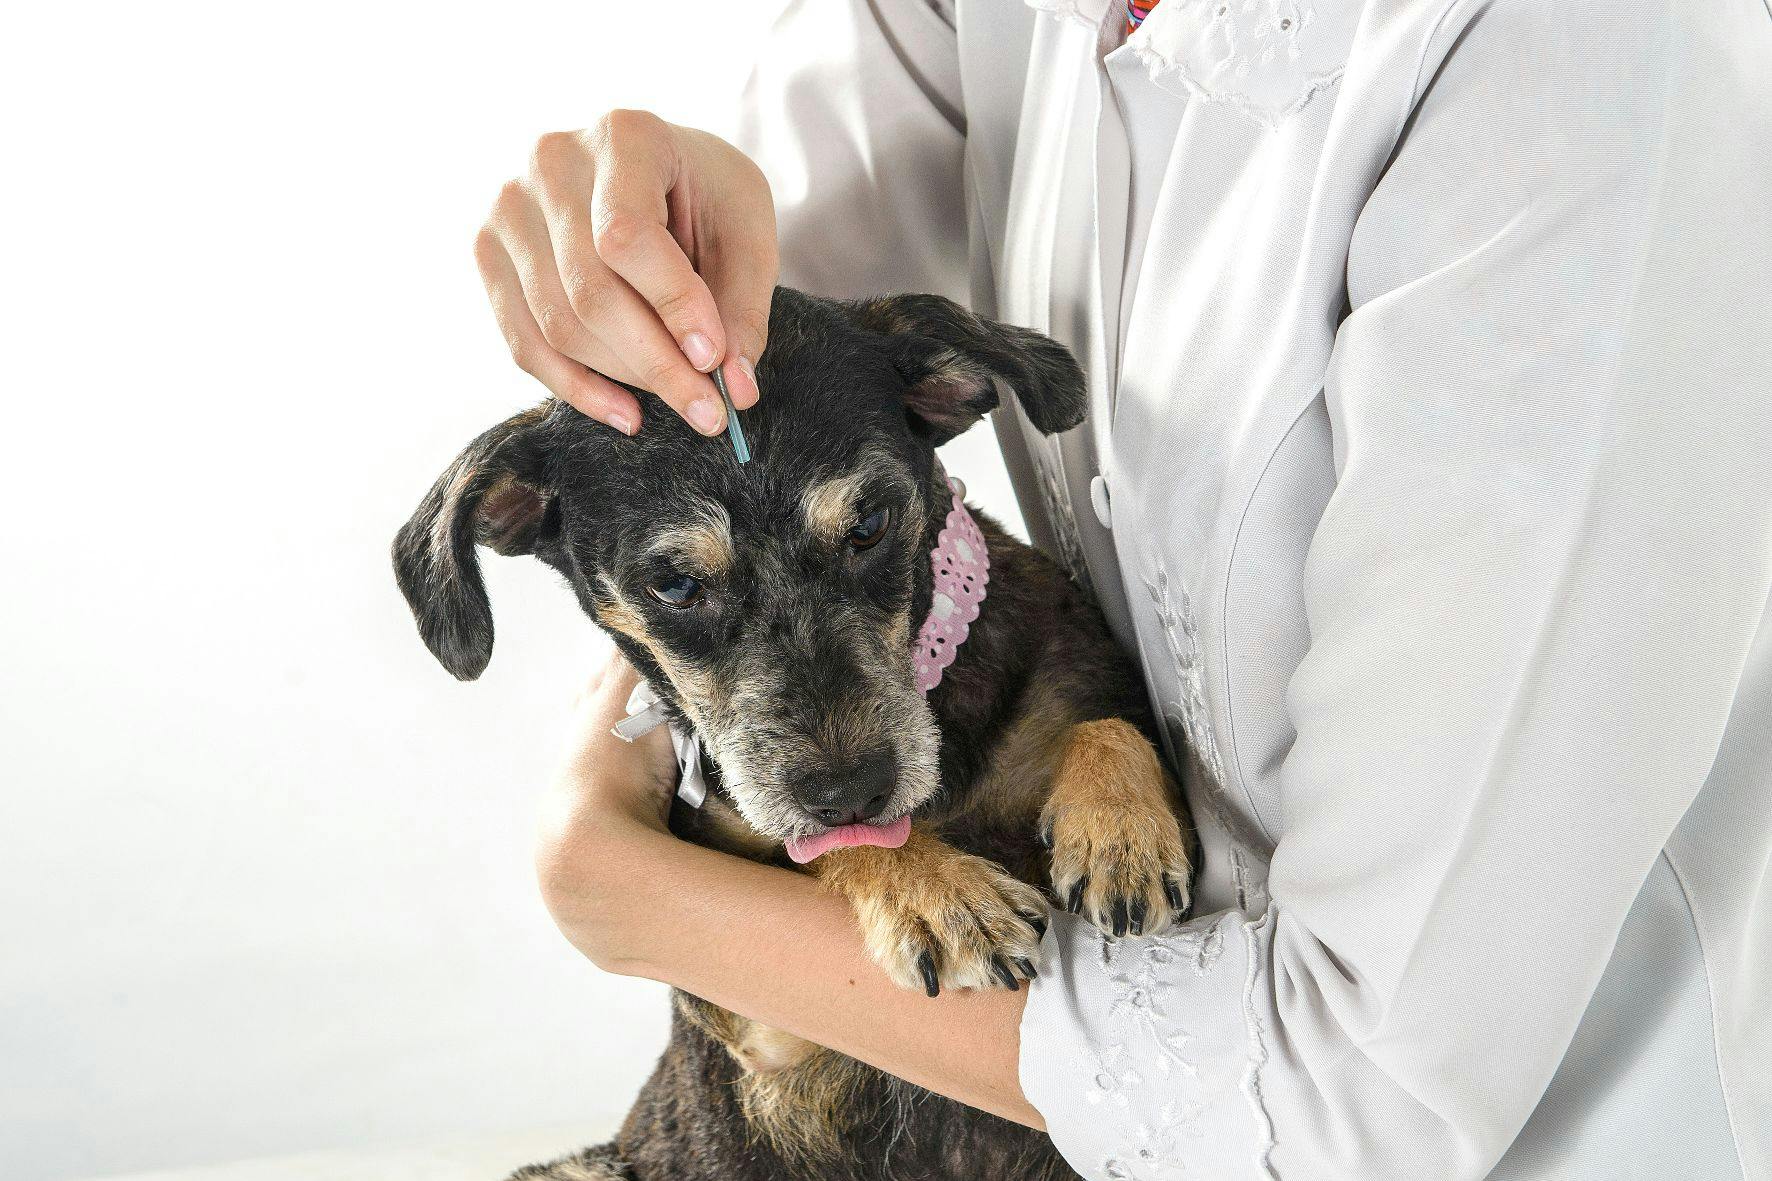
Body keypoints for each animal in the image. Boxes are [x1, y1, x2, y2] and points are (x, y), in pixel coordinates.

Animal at [395, 287, 1197, 1177]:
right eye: (674, 585)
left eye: (870, 523)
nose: (852, 787)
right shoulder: (767, 1038)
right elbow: (818, 847)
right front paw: (944, 899)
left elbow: (1106, 725)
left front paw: (1120, 832)